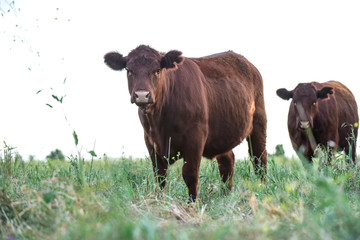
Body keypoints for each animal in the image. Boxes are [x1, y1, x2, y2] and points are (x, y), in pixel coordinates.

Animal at [104, 45, 268, 202]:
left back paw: (263, 189)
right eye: (129, 70)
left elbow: (190, 175)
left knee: (259, 159)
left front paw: (191, 205)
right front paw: (159, 202)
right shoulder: (150, 141)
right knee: (227, 163)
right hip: (223, 134)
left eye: (157, 70)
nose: (142, 95)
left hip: (259, 123)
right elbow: (160, 177)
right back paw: (225, 196)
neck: (159, 121)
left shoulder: (195, 138)